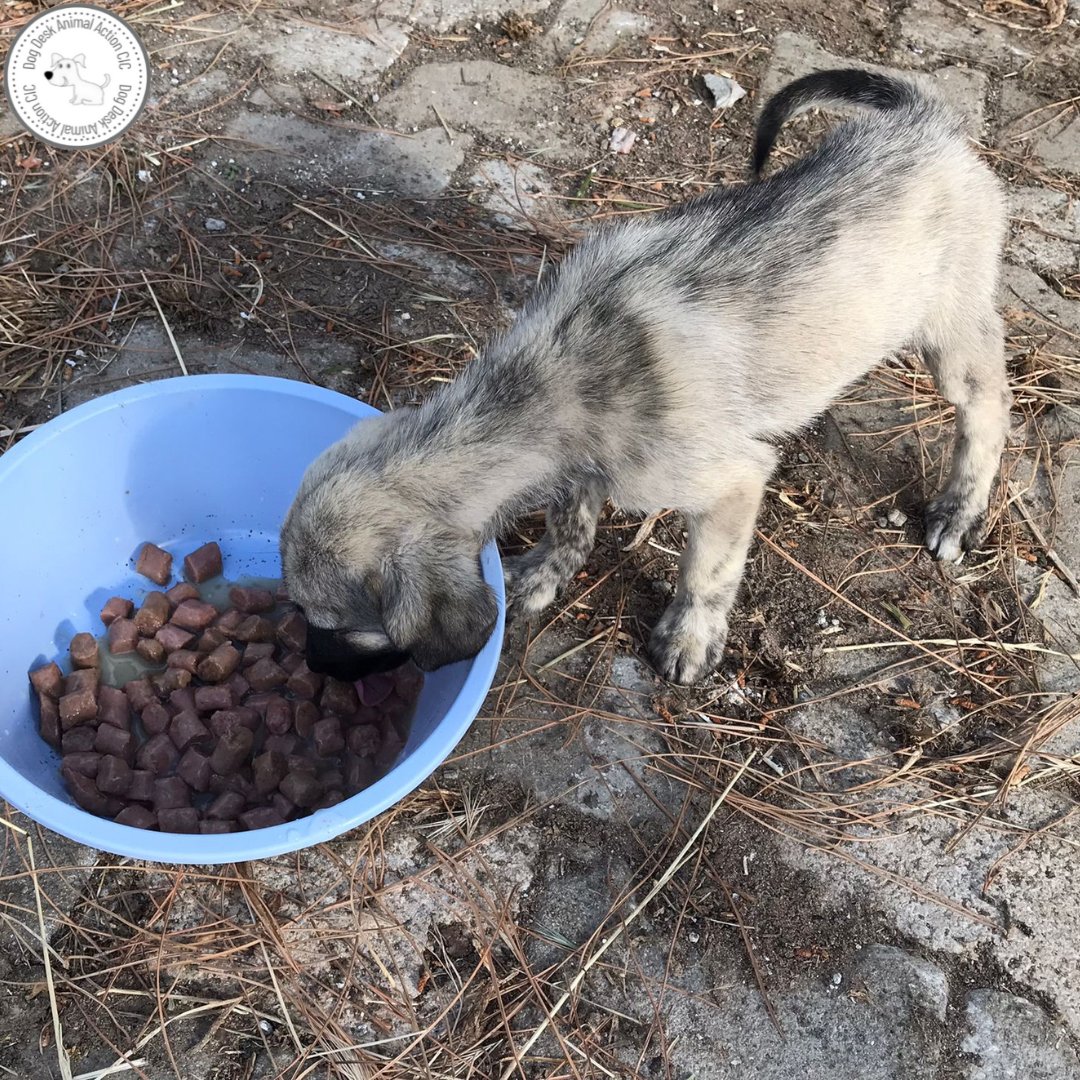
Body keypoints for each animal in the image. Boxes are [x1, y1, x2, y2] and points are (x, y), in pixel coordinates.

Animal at [280, 69, 1010, 682]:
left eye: (334, 625)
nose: (311, 667)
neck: (551, 381)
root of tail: (927, 121)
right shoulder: (581, 469)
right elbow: (569, 524)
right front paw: (540, 577)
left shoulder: (731, 482)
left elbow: (705, 575)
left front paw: (689, 638)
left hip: (953, 333)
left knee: (990, 408)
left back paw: (958, 511)